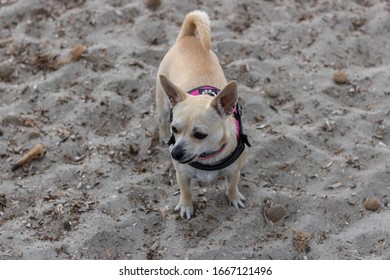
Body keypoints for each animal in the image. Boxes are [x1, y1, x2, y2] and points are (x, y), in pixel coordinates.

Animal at [156, 10, 250, 219]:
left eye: (200, 135)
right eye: (175, 129)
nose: (174, 153)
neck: (207, 157)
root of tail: (188, 37)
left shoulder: (234, 171)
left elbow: (232, 185)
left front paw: (234, 197)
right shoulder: (182, 175)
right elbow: (186, 191)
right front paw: (186, 206)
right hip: (163, 105)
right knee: (160, 119)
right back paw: (163, 135)